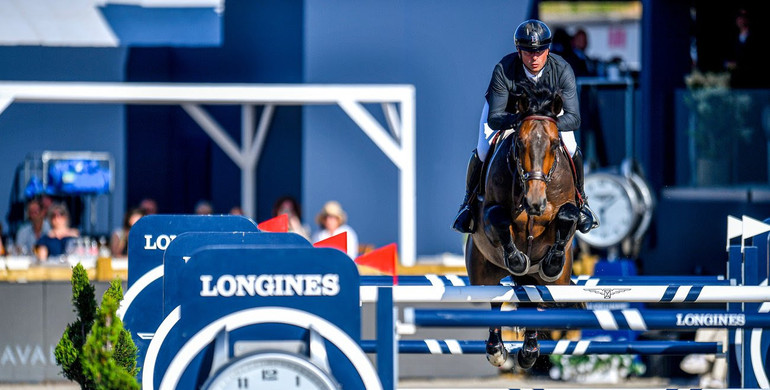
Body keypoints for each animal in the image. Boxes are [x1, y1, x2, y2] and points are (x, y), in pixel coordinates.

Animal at [462, 81, 584, 372]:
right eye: (519, 142)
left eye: (554, 144)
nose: (535, 203)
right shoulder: (490, 214)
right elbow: (499, 220)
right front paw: (517, 259)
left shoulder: (563, 213)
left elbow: (568, 216)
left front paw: (552, 260)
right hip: (482, 272)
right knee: (494, 300)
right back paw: (497, 351)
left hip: (557, 283)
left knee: (535, 302)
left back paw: (529, 352)